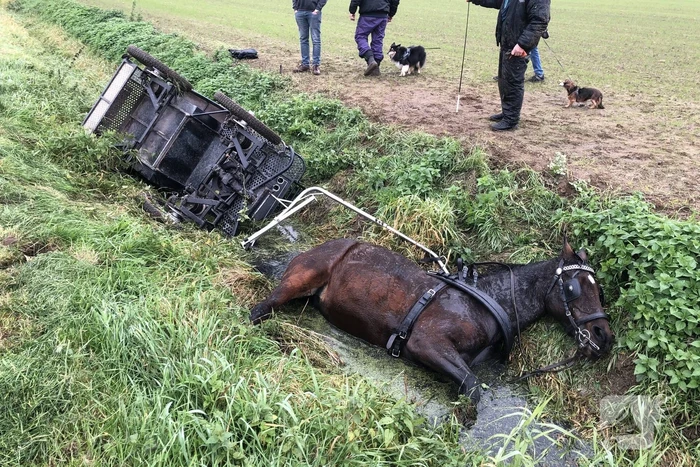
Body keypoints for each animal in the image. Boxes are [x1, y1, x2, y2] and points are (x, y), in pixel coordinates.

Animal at [250, 238, 614, 402]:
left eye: (600, 290)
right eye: (574, 287)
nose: (604, 336)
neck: (488, 301)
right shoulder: (426, 342)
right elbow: (473, 388)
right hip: (299, 281)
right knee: (260, 311)